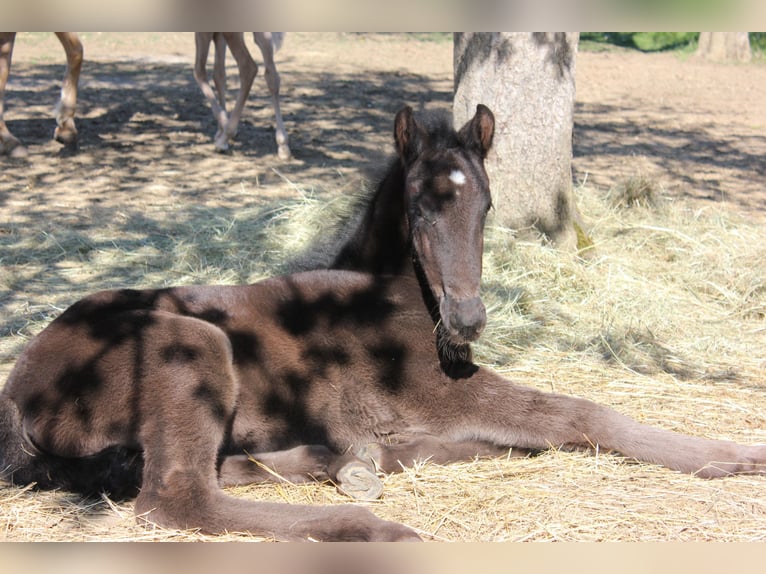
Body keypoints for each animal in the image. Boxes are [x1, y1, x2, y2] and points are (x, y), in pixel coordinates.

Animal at [2, 104, 765, 542]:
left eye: (486, 205)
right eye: (420, 207)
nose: (468, 318)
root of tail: (17, 392)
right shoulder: (445, 390)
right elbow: (585, 413)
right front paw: (732, 454)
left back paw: (341, 466)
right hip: (191, 344)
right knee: (174, 499)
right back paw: (364, 520)